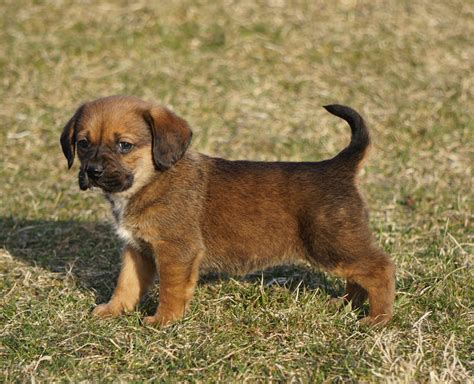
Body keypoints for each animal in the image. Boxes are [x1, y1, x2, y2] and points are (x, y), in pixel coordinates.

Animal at [60, 94, 396, 326]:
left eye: (124, 145)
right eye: (83, 143)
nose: (92, 172)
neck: (152, 179)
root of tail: (338, 167)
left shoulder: (175, 252)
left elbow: (171, 290)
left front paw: (164, 321)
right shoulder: (137, 250)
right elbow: (126, 285)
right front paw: (113, 310)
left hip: (330, 245)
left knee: (380, 268)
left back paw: (377, 319)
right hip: (340, 246)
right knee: (360, 275)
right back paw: (347, 304)